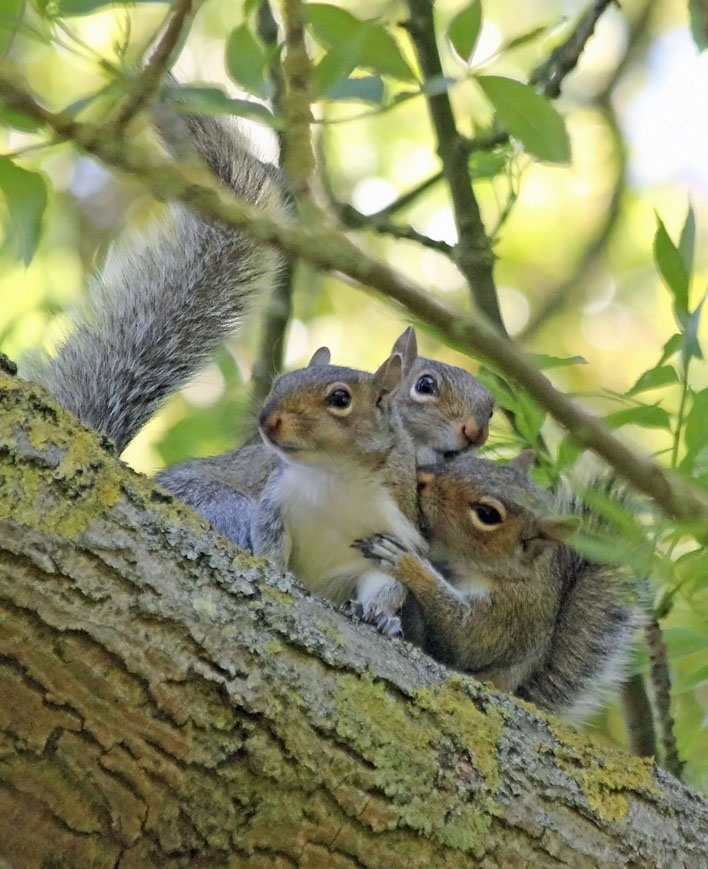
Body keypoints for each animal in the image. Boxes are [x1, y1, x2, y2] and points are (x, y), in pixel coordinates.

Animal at [354, 450, 640, 716]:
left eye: (487, 514)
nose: (422, 476)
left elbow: (464, 637)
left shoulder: (513, 610)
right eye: (474, 462)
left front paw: (406, 561)